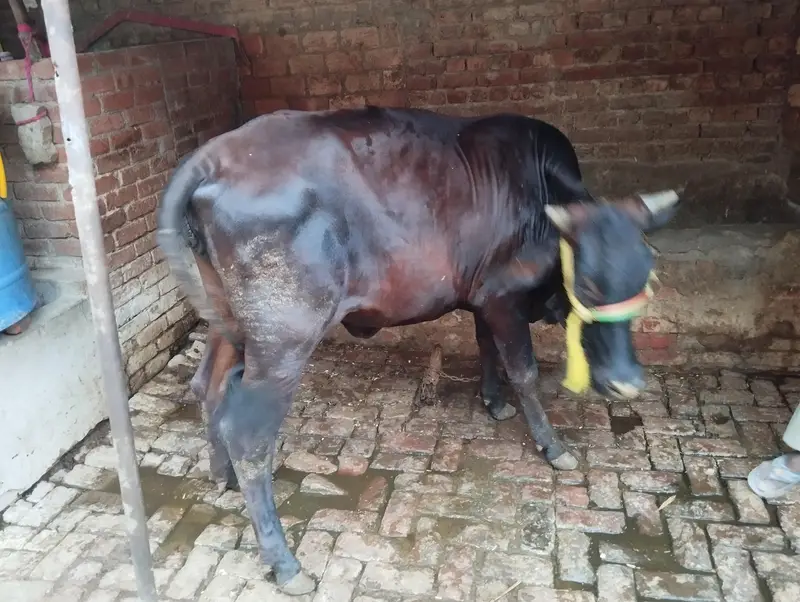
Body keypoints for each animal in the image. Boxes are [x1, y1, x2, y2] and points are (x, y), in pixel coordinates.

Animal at [156, 106, 679, 595]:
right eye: (588, 283)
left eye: (647, 276)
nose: (626, 382)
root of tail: (218, 153)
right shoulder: (505, 298)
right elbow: (524, 373)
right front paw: (552, 445)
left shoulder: (483, 299)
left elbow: (487, 349)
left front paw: (494, 402)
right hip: (283, 339)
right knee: (248, 435)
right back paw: (284, 563)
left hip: (228, 322)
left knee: (208, 387)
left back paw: (220, 476)